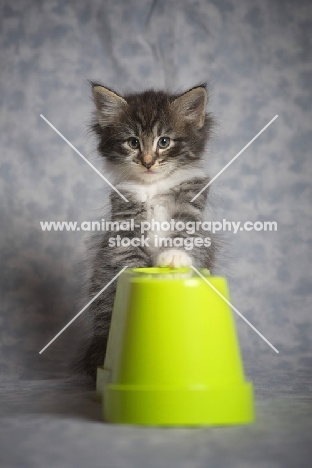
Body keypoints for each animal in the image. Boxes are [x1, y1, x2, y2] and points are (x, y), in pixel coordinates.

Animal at [74, 81, 218, 380]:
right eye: (133, 142)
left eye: (164, 142)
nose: (148, 161)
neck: (154, 187)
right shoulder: (124, 223)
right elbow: (129, 257)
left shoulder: (191, 208)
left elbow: (186, 237)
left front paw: (173, 258)